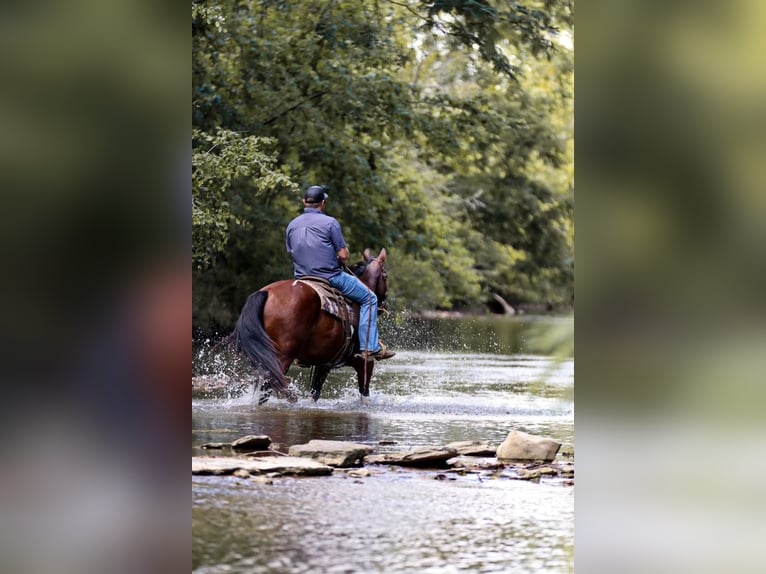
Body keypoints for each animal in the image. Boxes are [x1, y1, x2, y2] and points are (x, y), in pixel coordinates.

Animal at [225, 249, 388, 404]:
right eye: (385, 275)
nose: (384, 304)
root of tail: (266, 292)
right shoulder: (364, 361)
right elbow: (364, 393)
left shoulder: (324, 363)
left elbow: (314, 393)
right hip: (281, 358)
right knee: (267, 389)